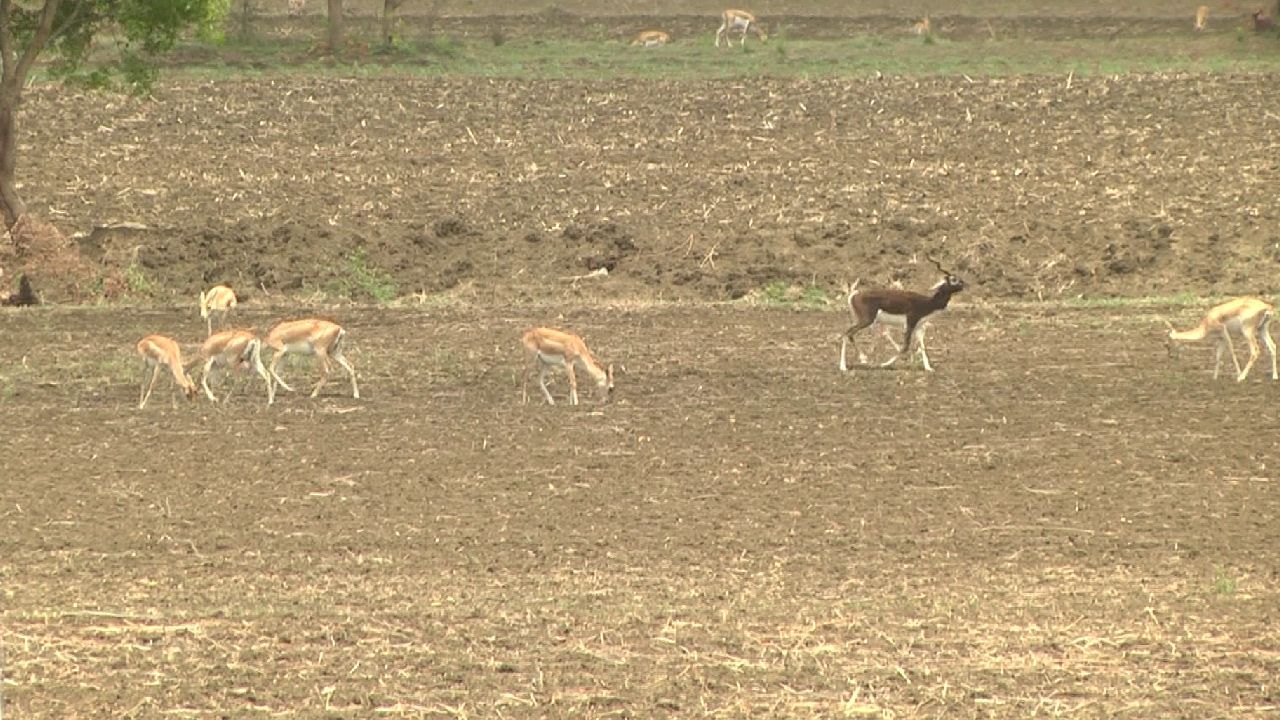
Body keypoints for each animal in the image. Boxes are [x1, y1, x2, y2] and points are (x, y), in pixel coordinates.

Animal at [834, 254, 962, 371]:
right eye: (953, 279)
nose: (964, 285)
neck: (926, 303)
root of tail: (854, 294)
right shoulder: (910, 323)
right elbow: (905, 346)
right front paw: (884, 364)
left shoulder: (919, 326)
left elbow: (922, 346)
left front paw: (928, 368)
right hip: (867, 320)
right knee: (847, 333)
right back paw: (845, 366)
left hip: (861, 320)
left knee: (849, 334)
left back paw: (861, 359)